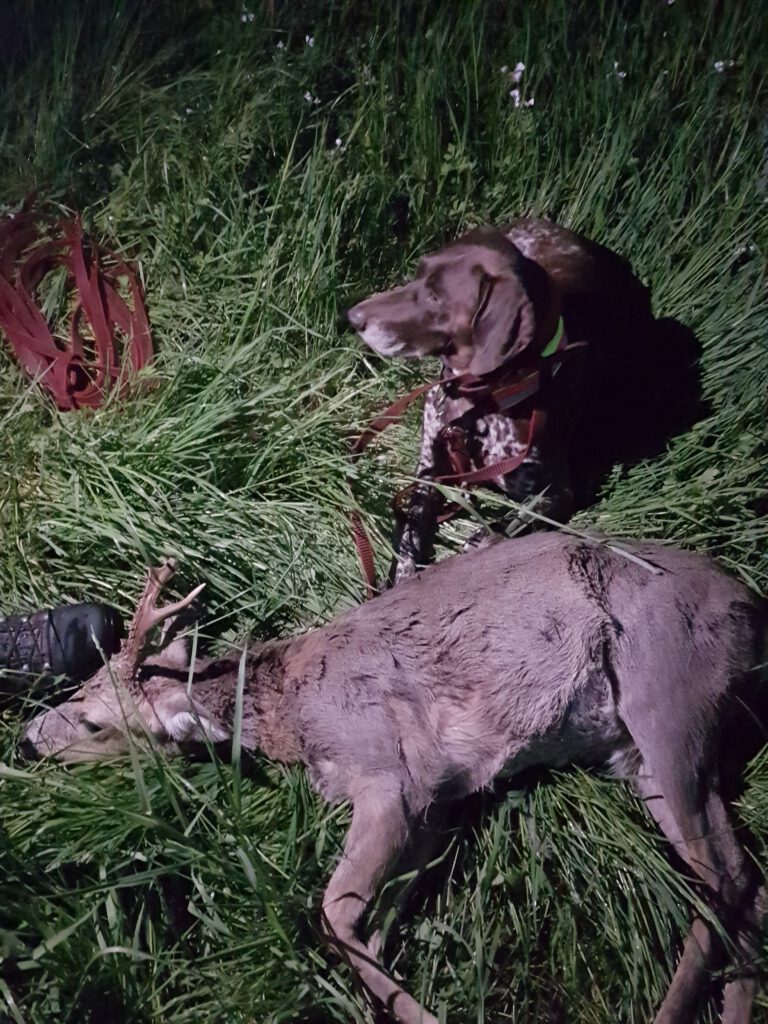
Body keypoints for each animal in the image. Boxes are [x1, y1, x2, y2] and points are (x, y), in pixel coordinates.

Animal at [21, 532, 767, 1024]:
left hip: (663, 694)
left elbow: (333, 911)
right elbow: (373, 929)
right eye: (81, 685)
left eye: (92, 721)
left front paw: (421, 1017)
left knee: (725, 878)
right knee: (744, 879)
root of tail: (751, 607)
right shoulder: (436, 803)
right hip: (640, 754)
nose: (28, 739)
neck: (291, 712)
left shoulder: (390, 773)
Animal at [347, 219, 701, 582]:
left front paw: (489, 535)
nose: (353, 316)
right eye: (417, 273)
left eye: (434, 296)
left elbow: (523, 519)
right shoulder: (429, 471)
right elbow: (410, 535)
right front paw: (402, 576)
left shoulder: (558, 493)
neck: (481, 406)